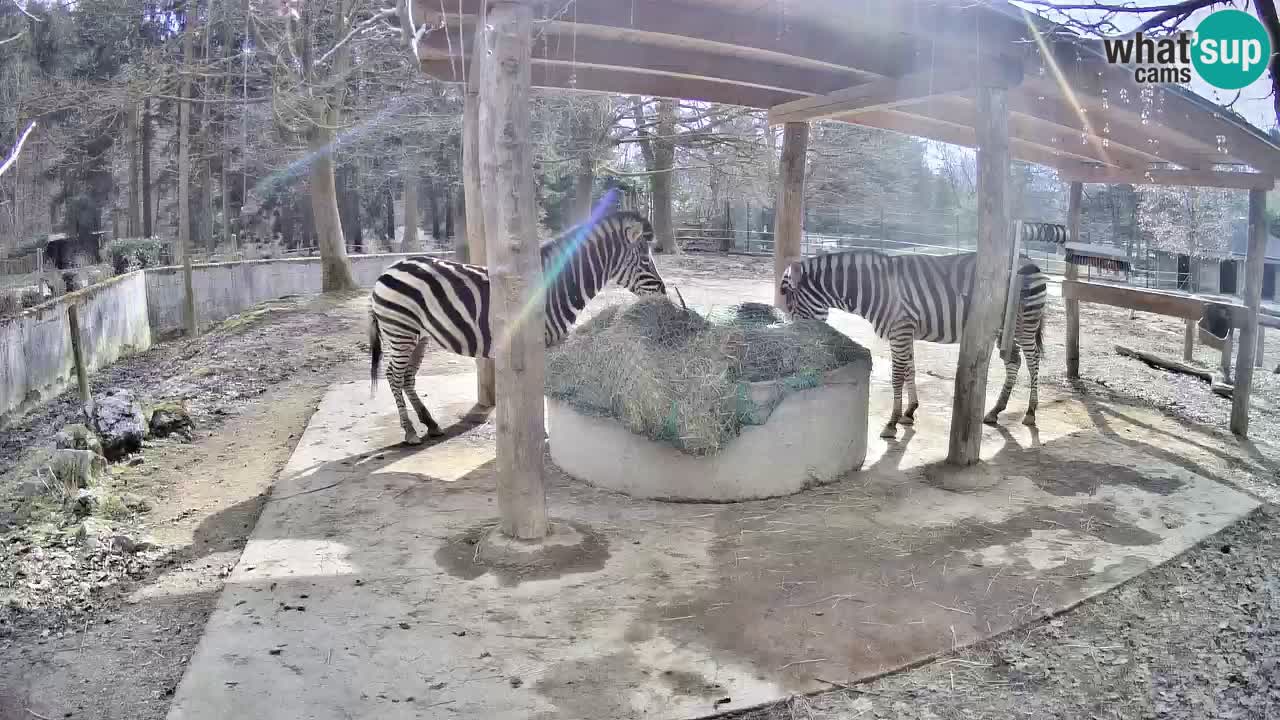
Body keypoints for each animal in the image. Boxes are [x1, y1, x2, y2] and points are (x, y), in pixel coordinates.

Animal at [371, 208, 670, 443]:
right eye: (646, 260)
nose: (663, 293)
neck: (557, 286)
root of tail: (389, 269)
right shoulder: (542, 341)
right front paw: (542, 433)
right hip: (400, 331)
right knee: (394, 375)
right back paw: (410, 431)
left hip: (418, 336)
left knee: (407, 377)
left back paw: (431, 425)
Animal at [778, 245, 1049, 438]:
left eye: (789, 300)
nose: (793, 334)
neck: (874, 289)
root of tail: (1029, 260)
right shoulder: (904, 332)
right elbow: (910, 368)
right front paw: (909, 412)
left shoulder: (900, 329)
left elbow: (897, 374)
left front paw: (891, 423)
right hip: (1006, 328)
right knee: (1013, 361)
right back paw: (995, 411)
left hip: (1026, 323)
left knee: (1033, 360)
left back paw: (1031, 412)